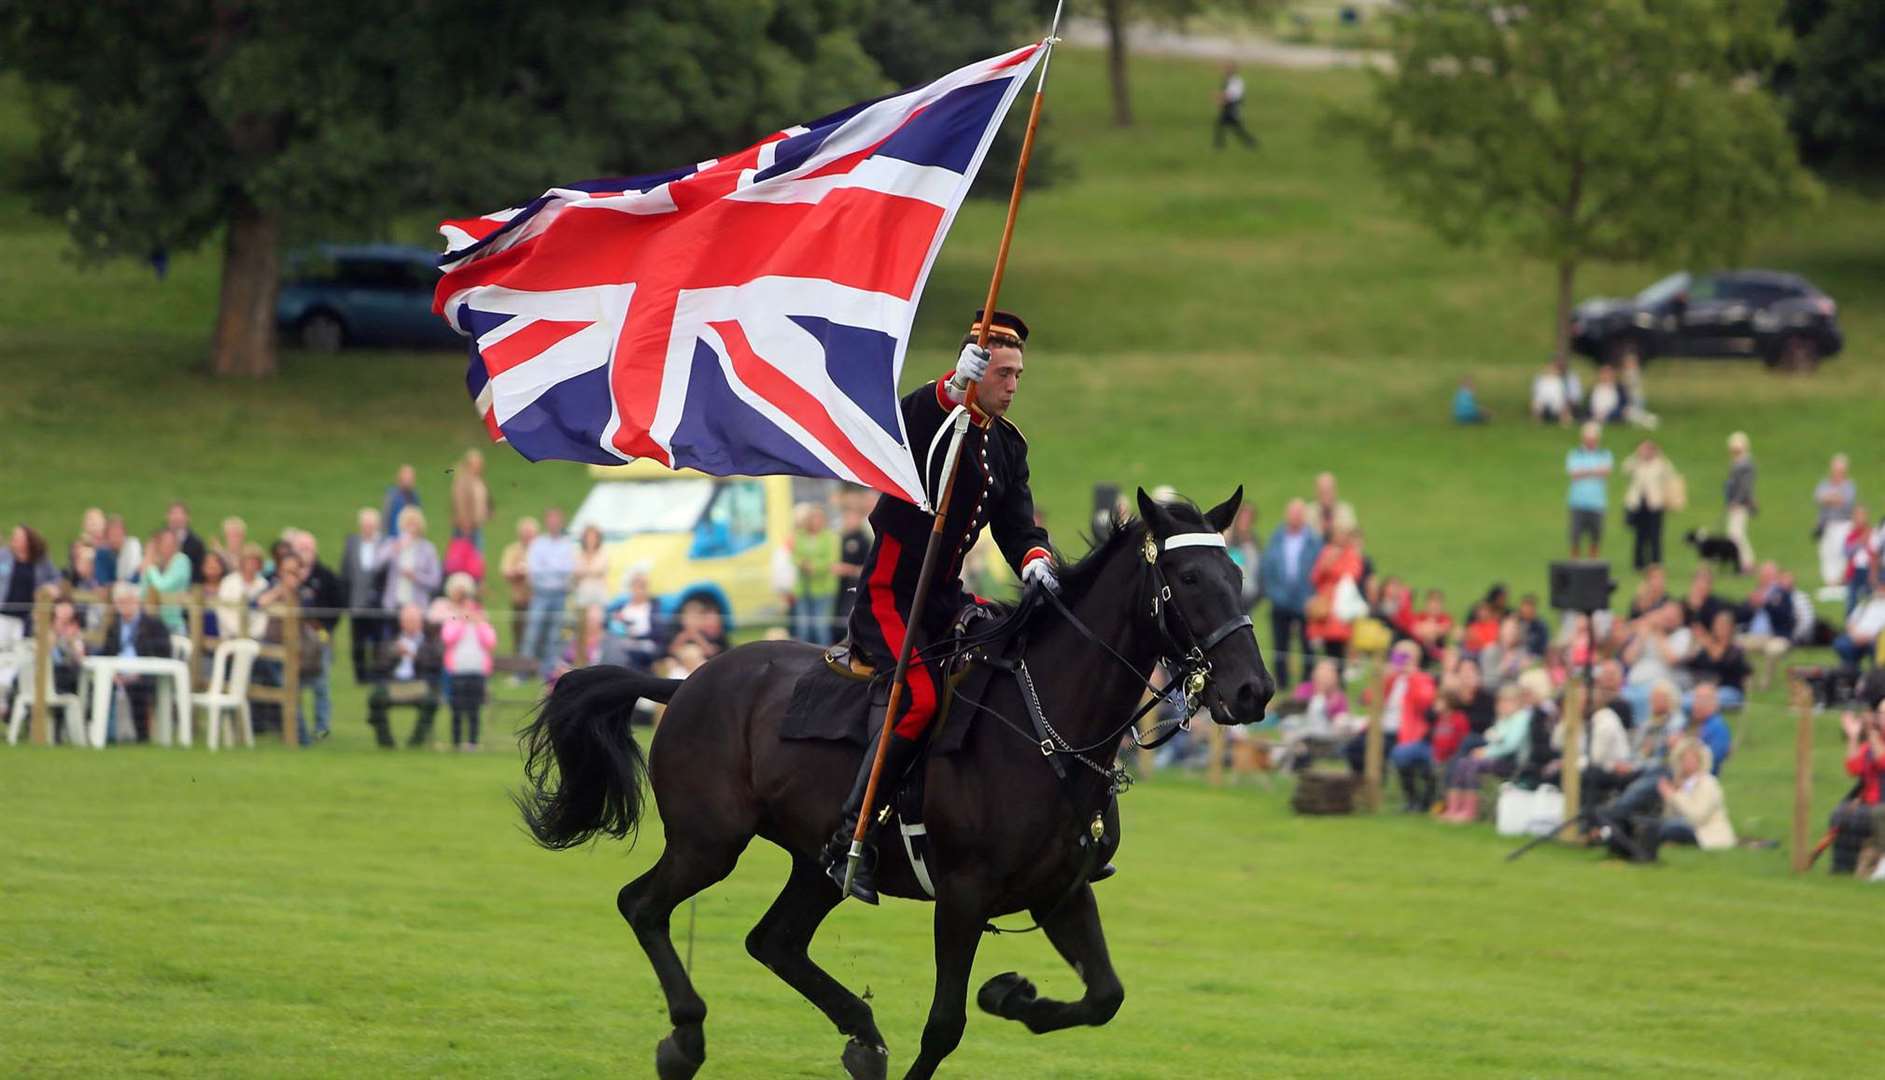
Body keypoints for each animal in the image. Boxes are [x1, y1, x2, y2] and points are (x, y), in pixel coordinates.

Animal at [524, 490, 1274, 1078]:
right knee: (643, 905)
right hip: (709, 844)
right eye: (1186, 576)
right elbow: (944, 1025)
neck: (1045, 729)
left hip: (816, 865)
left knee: (772, 942)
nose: (1253, 690)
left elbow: (1103, 997)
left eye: (1237, 573)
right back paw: (686, 1036)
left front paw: (1012, 997)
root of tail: (684, 683)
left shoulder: (1061, 893)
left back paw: (861, 1038)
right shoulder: (964, 898)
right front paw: (994, 1001)